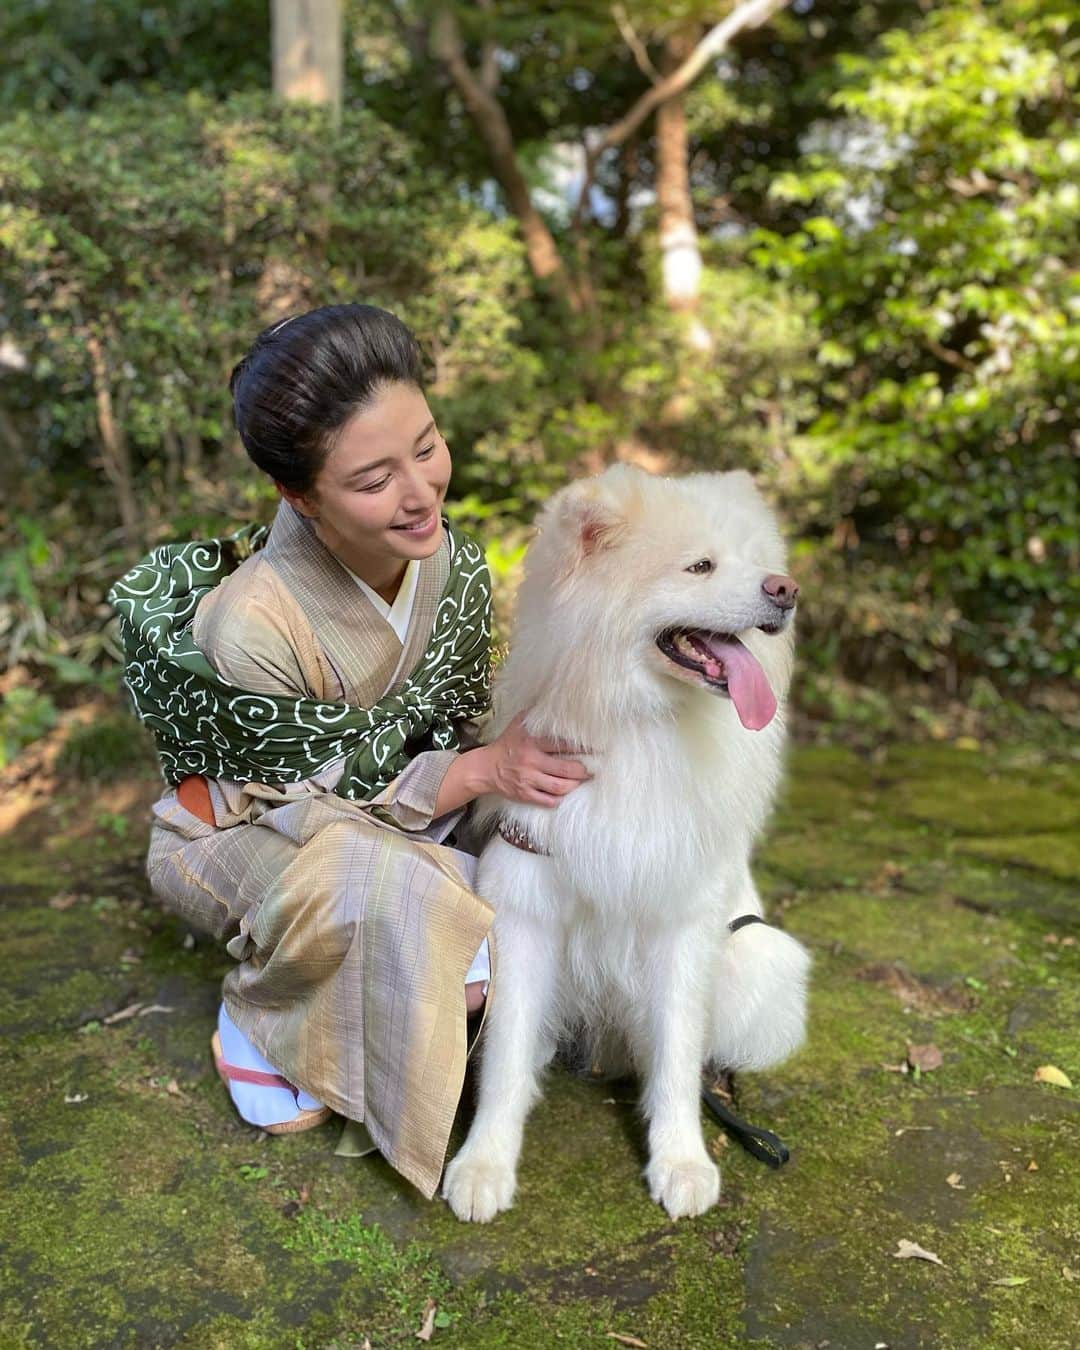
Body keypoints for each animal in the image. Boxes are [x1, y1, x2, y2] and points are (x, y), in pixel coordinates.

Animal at [440, 467, 810, 1225]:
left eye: (757, 562)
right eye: (700, 567)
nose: (787, 589)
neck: (645, 725)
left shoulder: (682, 926)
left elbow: (675, 1057)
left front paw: (681, 1164)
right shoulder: (524, 913)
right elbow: (505, 1058)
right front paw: (484, 1164)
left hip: (759, 957)